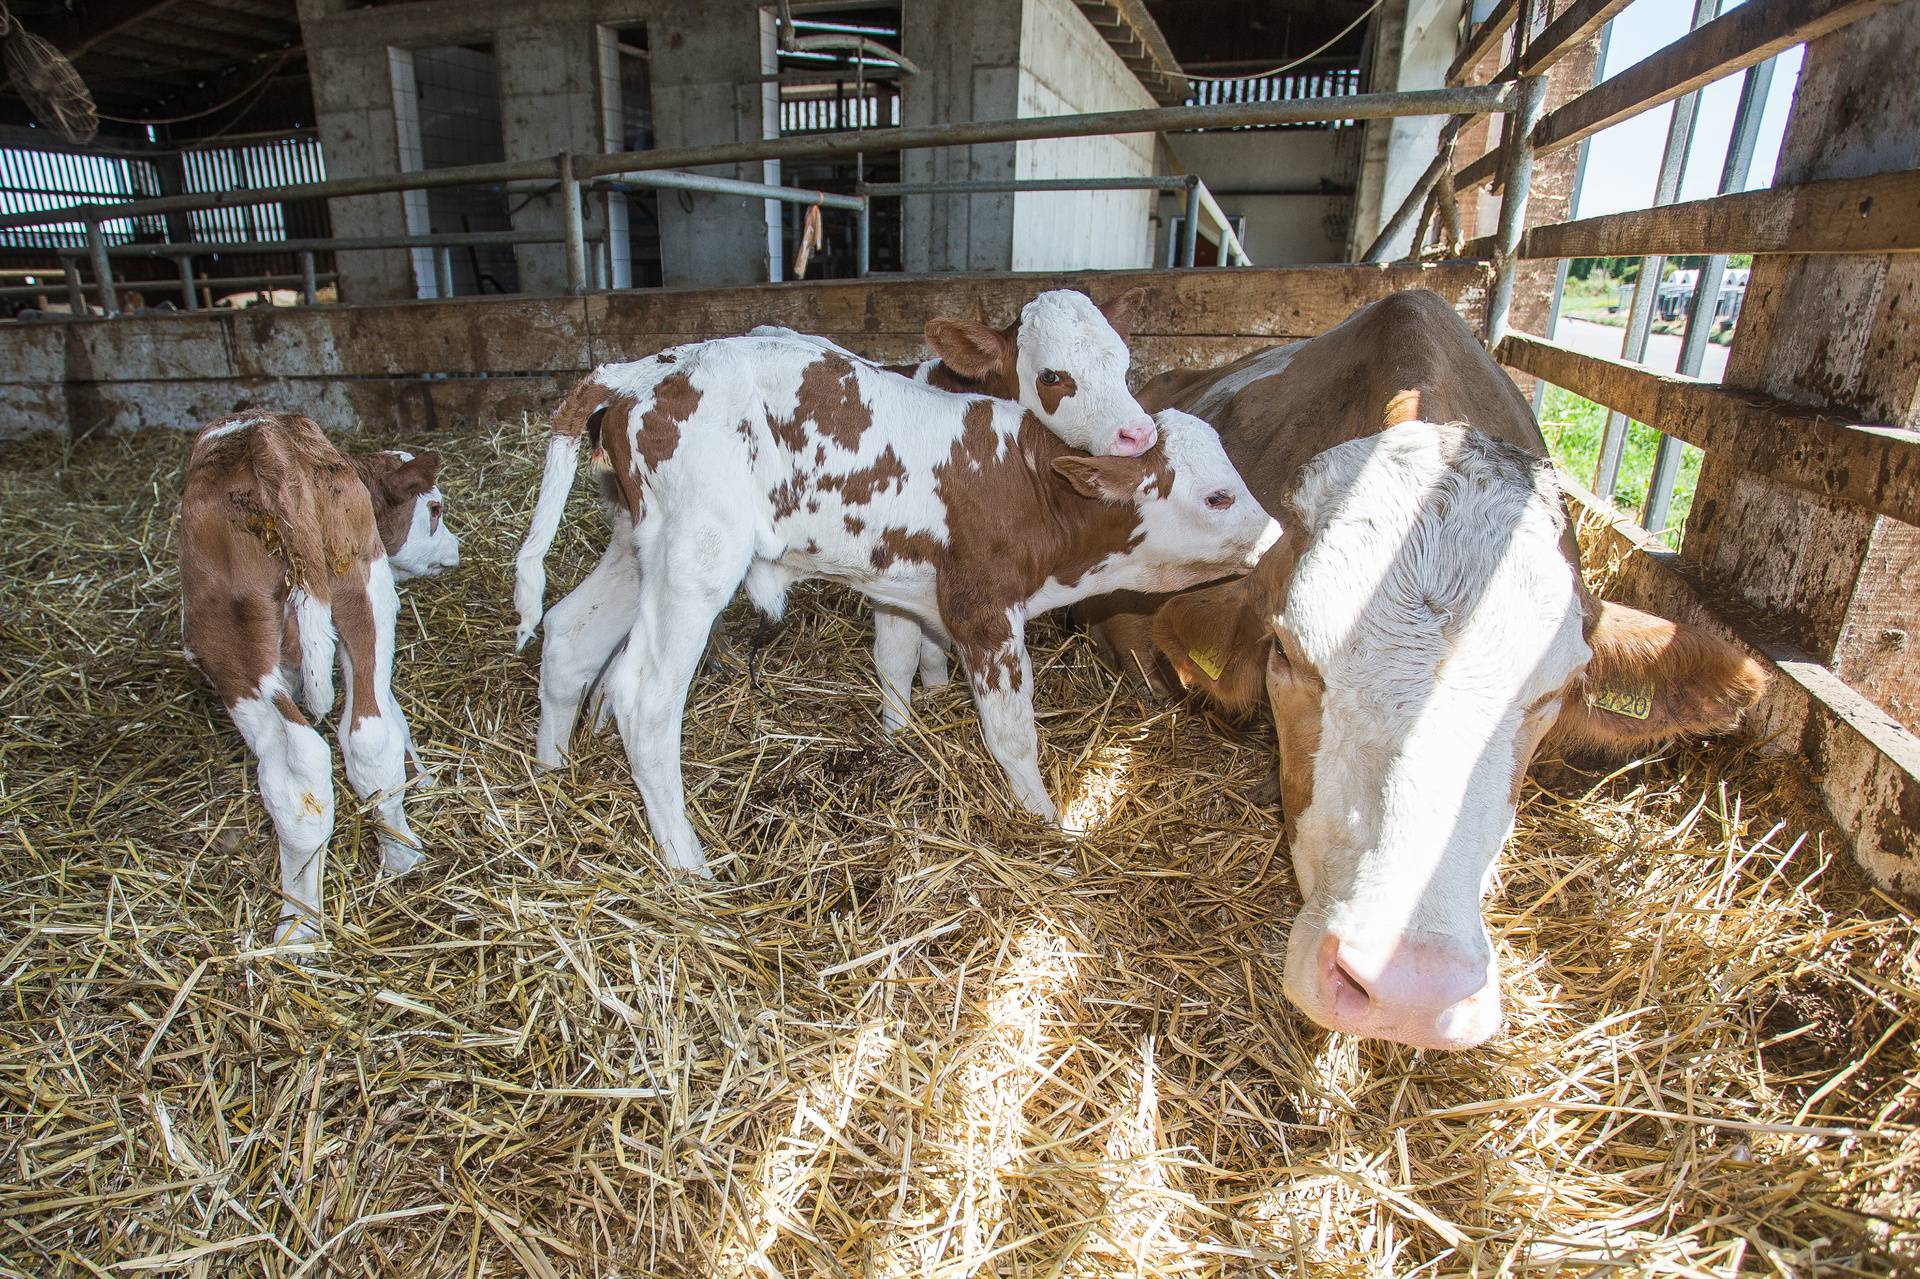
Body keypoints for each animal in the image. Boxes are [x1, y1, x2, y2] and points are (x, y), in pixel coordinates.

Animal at [180, 410, 464, 944]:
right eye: (435, 509)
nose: (455, 547)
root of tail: (268, 441)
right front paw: (422, 776)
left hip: (245, 642)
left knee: (315, 761)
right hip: (361, 589)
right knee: (361, 739)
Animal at [518, 328, 1282, 871]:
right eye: (1218, 496)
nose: (1276, 535)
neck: (1031, 487)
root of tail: (637, 371)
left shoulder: (907, 588)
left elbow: (898, 664)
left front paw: (897, 744)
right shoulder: (983, 607)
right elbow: (1013, 732)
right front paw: (1046, 824)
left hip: (637, 545)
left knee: (569, 633)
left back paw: (551, 775)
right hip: (696, 553)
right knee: (643, 697)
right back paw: (688, 864)